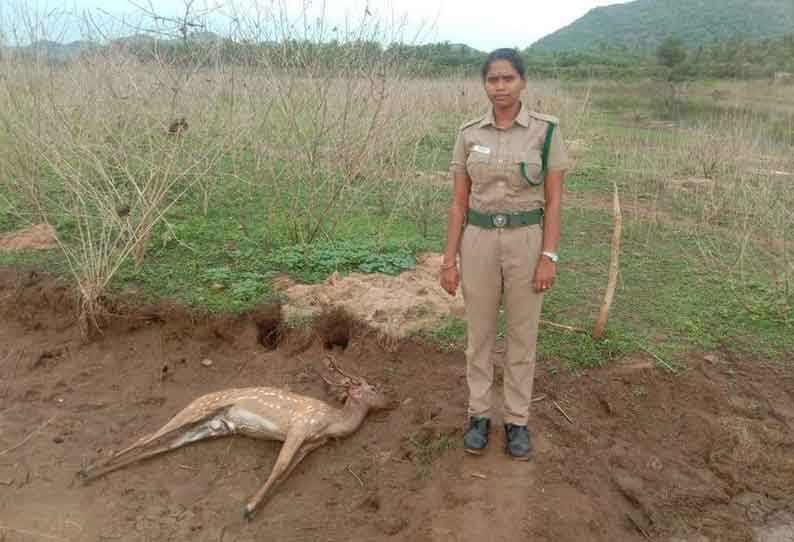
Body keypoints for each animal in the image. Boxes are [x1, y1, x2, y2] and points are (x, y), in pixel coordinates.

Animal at [80, 360, 390, 520]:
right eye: (374, 388)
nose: (393, 400)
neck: (332, 424)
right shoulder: (300, 425)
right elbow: (280, 466)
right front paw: (249, 508)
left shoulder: (311, 444)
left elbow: (287, 471)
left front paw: (255, 506)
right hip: (198, 408)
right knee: (148, 437)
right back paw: (89, 468)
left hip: (209, 427)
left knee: (162, 444)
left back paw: (95, 471)